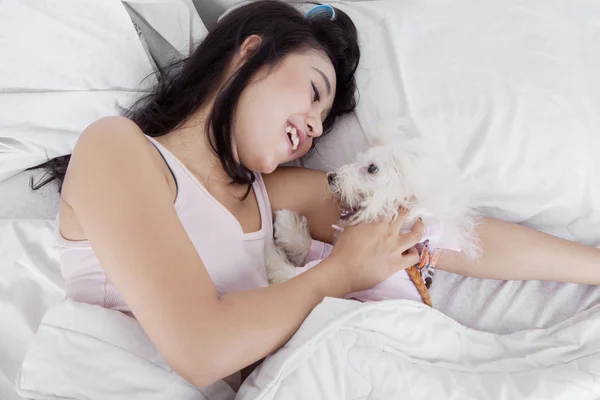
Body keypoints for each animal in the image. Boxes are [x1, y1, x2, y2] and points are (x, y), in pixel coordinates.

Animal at [264, 120, 480, 304]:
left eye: (372, 168)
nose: (331, 176)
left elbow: (299, 275)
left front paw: (271, 259)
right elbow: (312, 246)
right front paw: (286, 226)